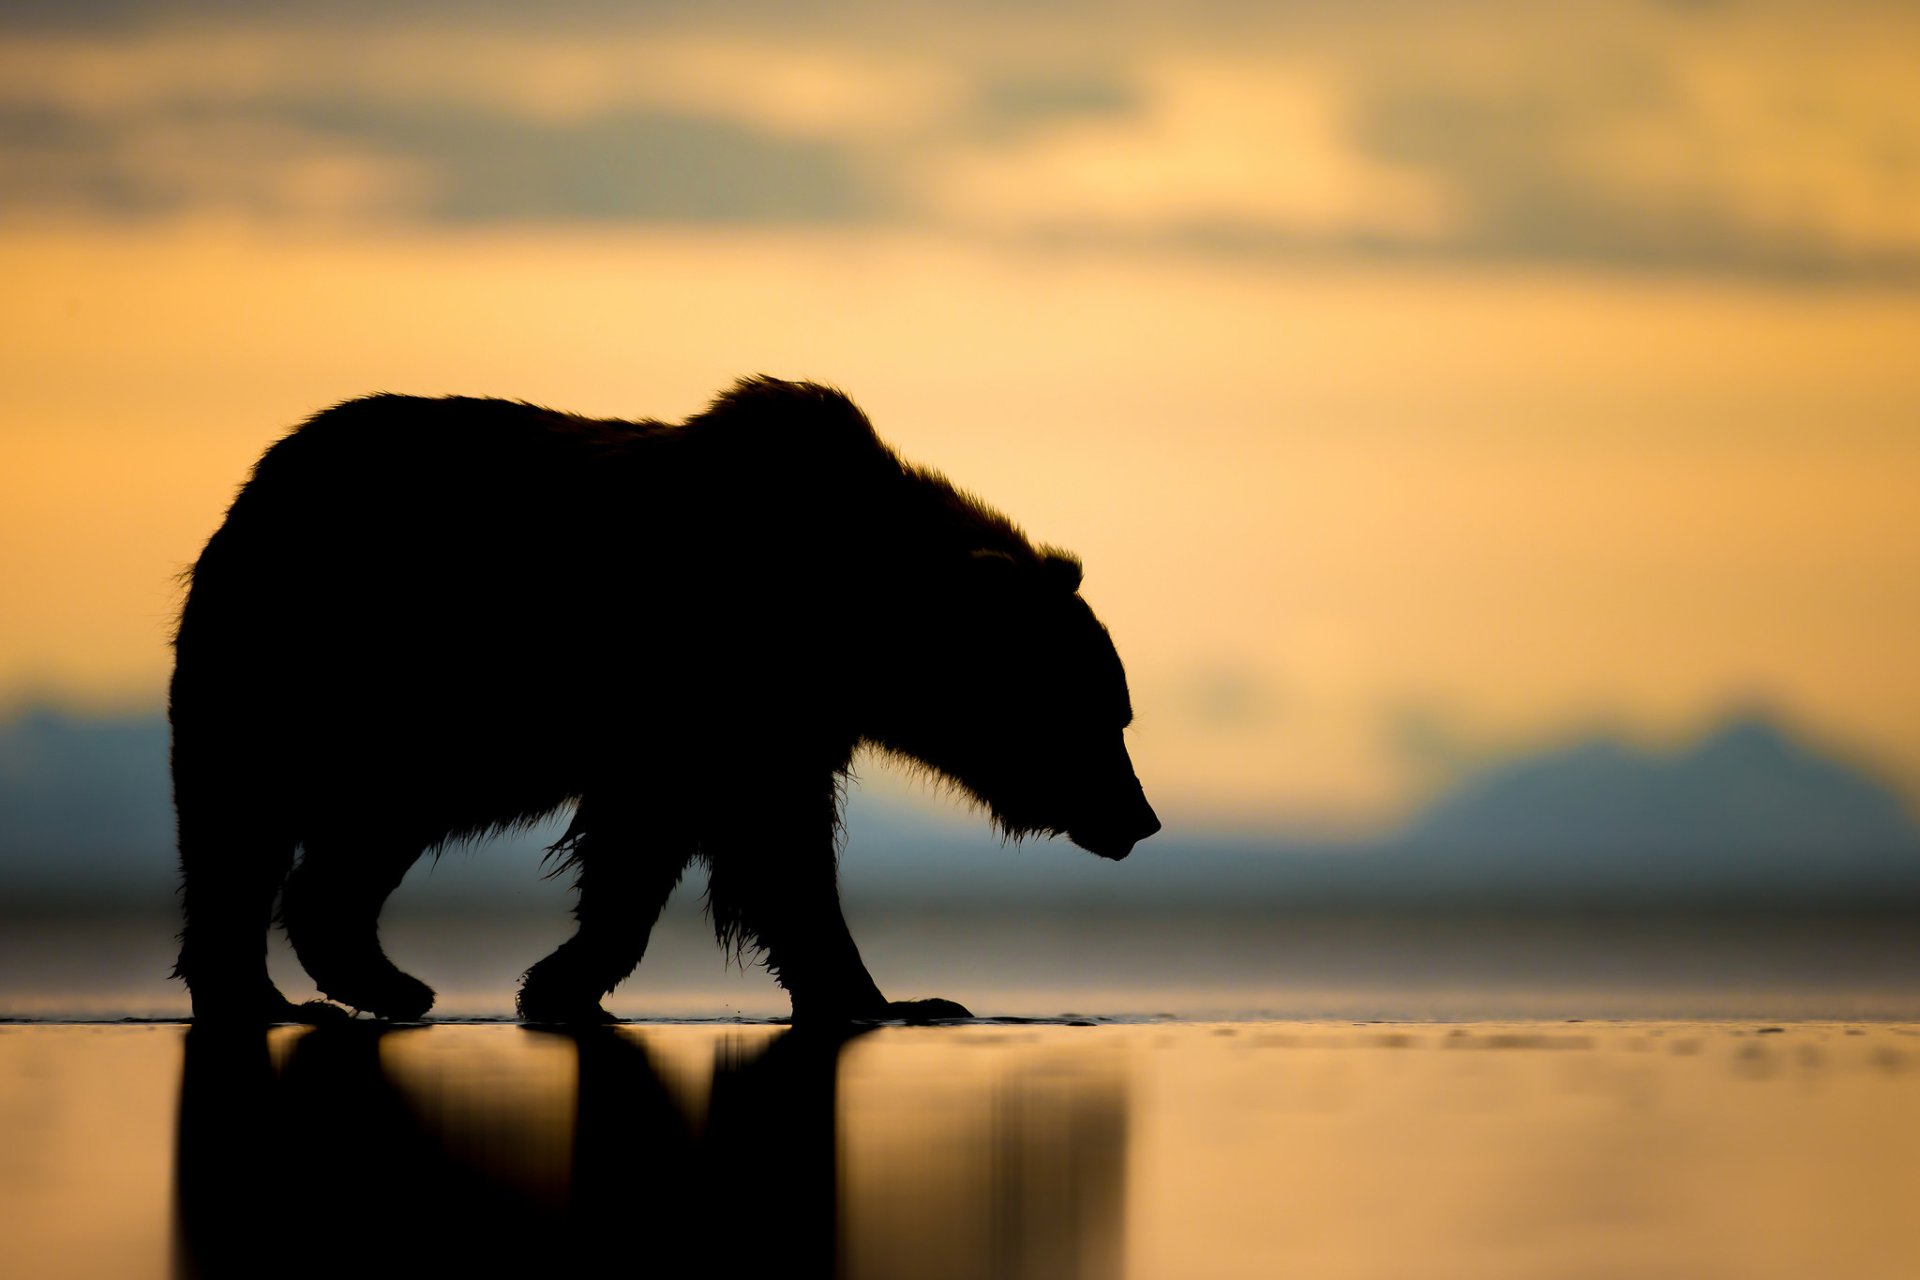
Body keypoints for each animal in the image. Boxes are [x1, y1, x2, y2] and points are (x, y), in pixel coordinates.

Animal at [170, 376, 1160, 1024]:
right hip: (318, 665)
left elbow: (673, 846)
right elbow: (763, 849)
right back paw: (276, 994)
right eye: (1101, 717)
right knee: (240, 825)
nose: (1141, 819)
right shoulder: (715, 682)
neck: (850, 613)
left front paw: (559, 982)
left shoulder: (760, 718)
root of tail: (259, 481)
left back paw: (375, 979)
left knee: (347, 839)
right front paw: (899, 998)